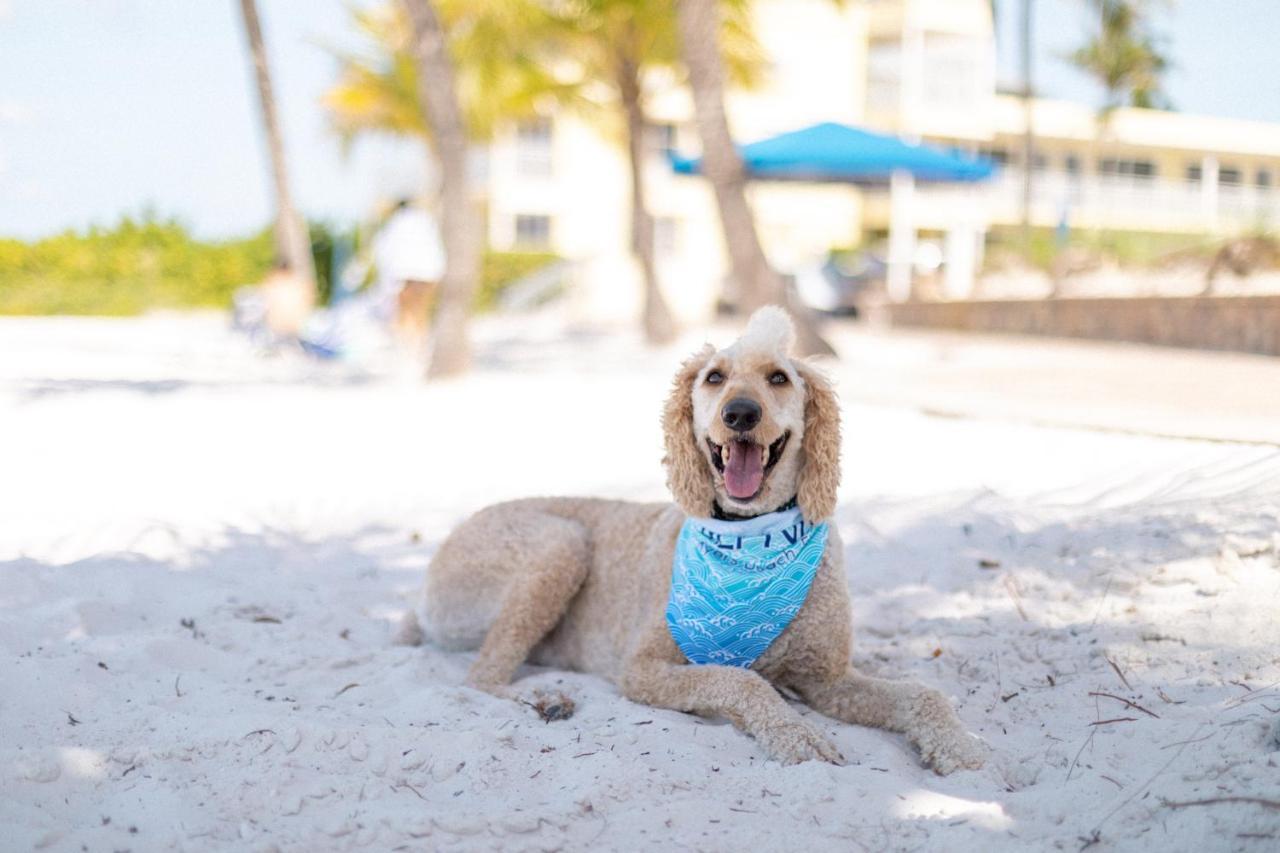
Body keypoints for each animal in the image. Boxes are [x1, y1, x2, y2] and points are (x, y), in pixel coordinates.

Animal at [404, 308, 983, 773]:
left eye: (779, 378)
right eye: (714, 377)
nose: (740, 413)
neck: (750, 537)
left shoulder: (828, 679)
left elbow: (924, 694)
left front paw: (959, 746)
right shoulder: (642, 670)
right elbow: (744, 681)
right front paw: (796, 735)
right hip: (559, 544)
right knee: (479, 678)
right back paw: (543, 700)